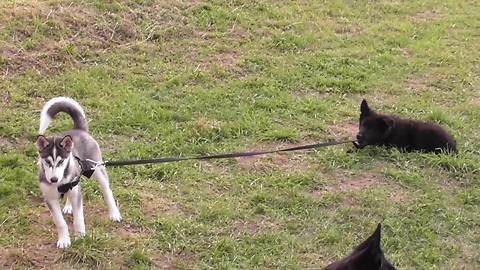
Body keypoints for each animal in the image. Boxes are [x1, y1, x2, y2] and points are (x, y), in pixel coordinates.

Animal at [36, 97, 122, 249]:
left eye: (61, 161)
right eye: (47, 161)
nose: (53, 179)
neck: (60, 183)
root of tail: (78, 129)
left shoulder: (76, 193)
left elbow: (79, 218)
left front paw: (81, 237)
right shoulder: (50, 198)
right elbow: (60, 222)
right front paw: (64, 240)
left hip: (97, 168)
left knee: (107, 191)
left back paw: (114, 213)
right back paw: (68, 206)